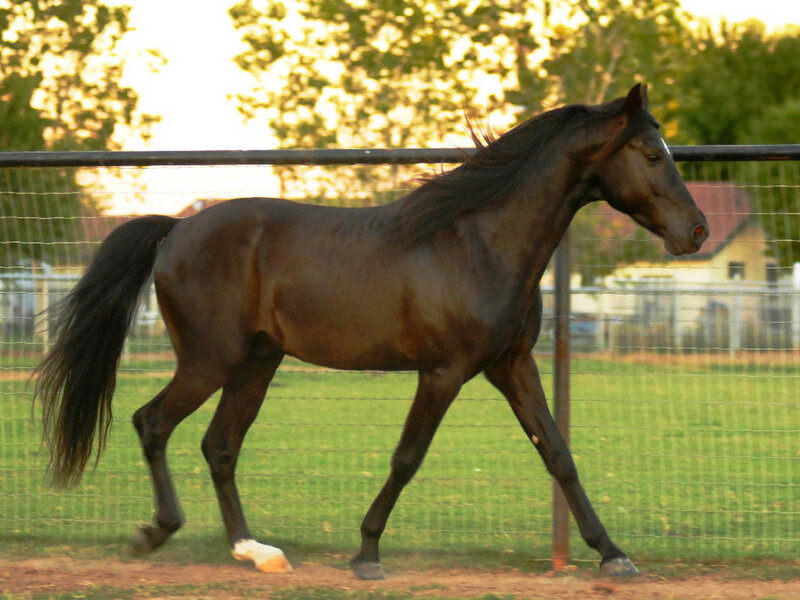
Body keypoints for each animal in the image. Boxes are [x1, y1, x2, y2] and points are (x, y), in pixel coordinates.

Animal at [34, 83, 708, 579]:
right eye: (653, 154)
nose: (697, 231)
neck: (479, 243)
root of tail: (175, 229)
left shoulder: (511, 365)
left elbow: (558, 453)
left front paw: (613, 554)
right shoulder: (444, 372)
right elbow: (407, 457)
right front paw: (366, 554)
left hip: (257, 364)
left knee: (219, 446)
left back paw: (256, 553)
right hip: (209, 361)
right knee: (153, 423)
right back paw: (155, 533)